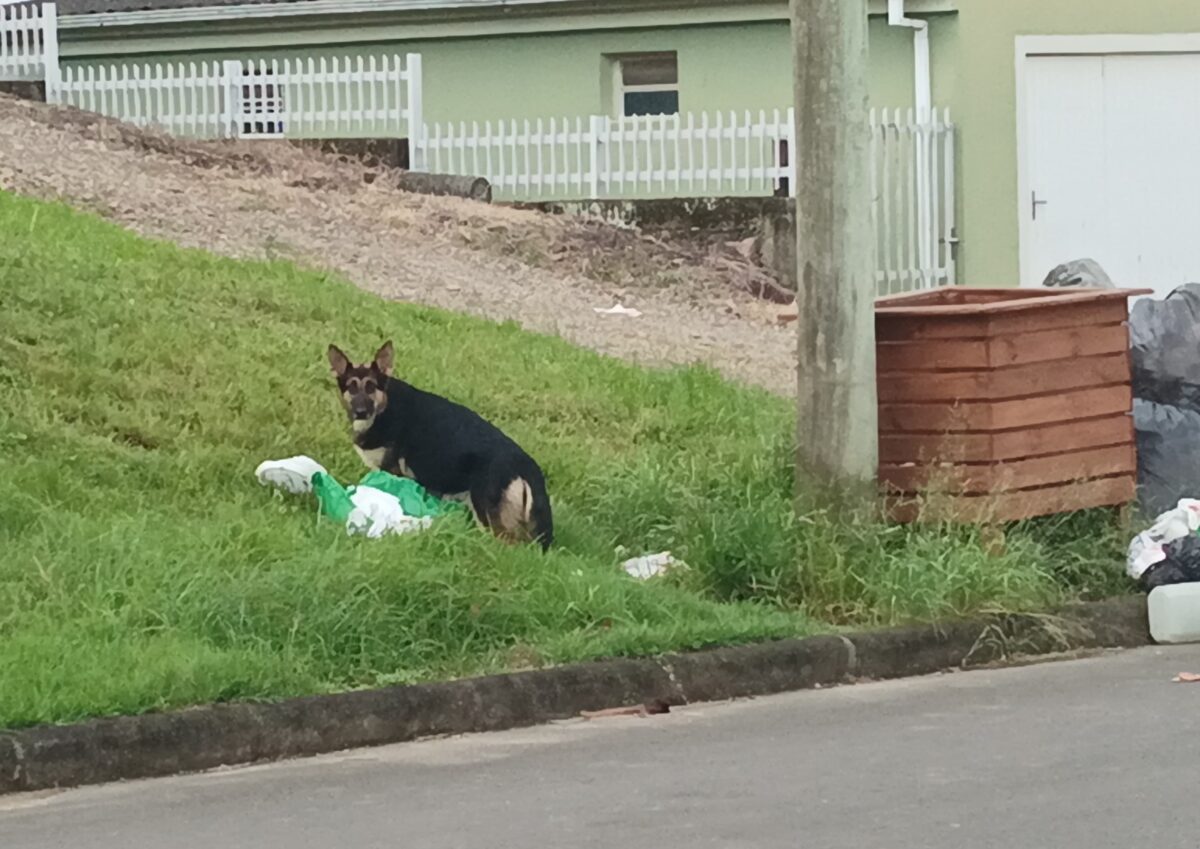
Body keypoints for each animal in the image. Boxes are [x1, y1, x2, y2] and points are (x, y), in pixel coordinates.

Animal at [328, 340, 552, 551]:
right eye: (351, 387)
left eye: (371, 386)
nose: (360, 412)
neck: (385, 406)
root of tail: (526, 466)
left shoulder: (391, 471)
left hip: (486, 511)